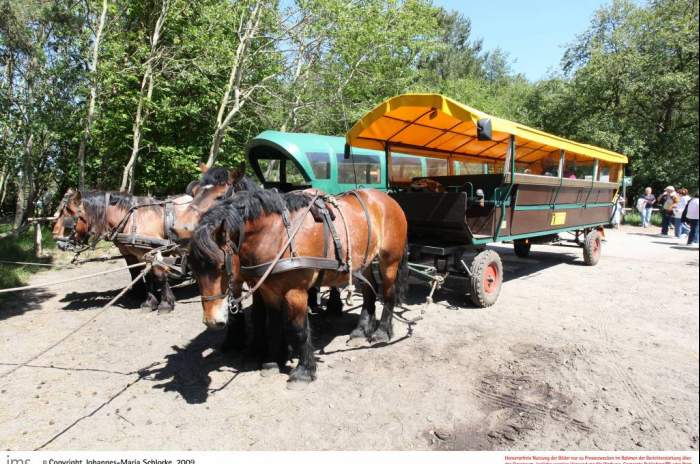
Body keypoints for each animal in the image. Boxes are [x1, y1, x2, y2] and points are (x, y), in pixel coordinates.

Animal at [186, 187, 410, 386]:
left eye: (220, 265)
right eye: (193, 270)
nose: (212, 321)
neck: (278, 234)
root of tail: (386, 199)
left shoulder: (296, 292)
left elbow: (299, 329)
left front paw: (304, 372)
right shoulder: (268, 290)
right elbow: (274, 325)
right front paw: (272, 361)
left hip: (389, 260)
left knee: (388, 294)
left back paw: (382, 332)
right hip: (362, 262)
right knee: (369, 292)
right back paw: (361, 331)